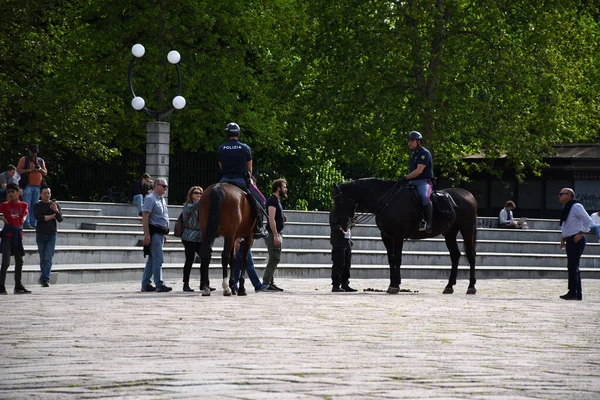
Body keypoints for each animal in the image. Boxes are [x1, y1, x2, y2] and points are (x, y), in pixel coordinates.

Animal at [332, 178, 478, 294]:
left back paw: (471, 287)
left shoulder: (398, 236)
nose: (339, 222)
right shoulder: (386, 236)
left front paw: (395, 286)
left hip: (467, 229)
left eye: (338, 199)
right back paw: (449, 286)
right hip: (450, 232)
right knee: (455, 256)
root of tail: (468, 195)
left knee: (471, 255)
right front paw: (392, 284)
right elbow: (391, 260)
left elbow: (397, 259)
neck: (388, 201)